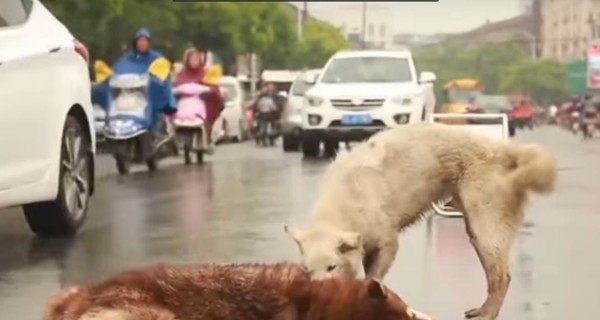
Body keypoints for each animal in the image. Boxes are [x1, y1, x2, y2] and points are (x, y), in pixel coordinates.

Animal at [286, 122, 556, 320]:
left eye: (332, 267)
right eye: (307, 270)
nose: (317, 297)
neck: (344, 205)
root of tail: (503, 150)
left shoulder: (387, 241)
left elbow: (373, 277)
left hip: (485, 220)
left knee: (501, 275)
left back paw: (487, 314)